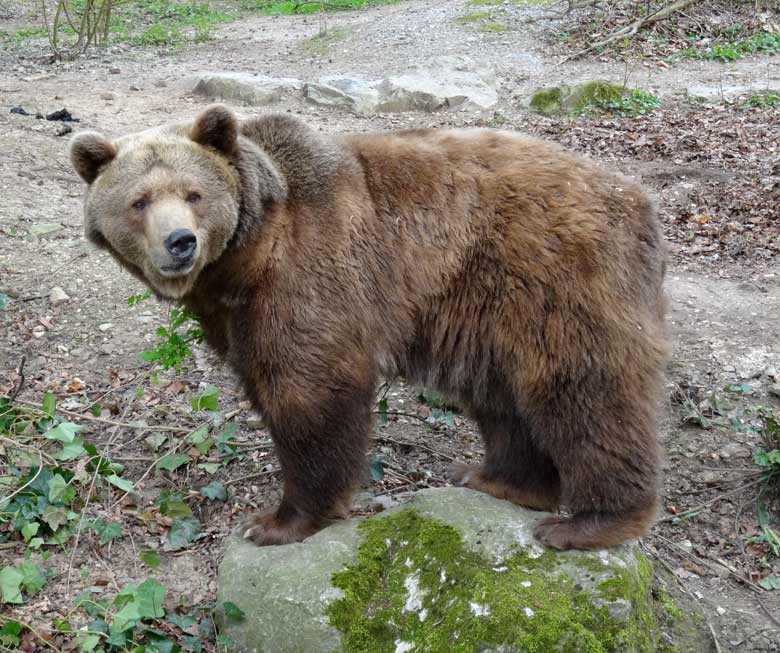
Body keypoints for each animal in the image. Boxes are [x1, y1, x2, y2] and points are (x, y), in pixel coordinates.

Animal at [70, 105, 668, 552]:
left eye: (193, 194)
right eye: (139, 201)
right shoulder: (237, 313)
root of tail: (638, 200)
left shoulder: (308, 274)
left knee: (585, 391)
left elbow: (309, 390)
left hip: (557, 278)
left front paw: (276, 521)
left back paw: (587, 523)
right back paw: (496, 478)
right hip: (490, 309)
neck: (243, 259)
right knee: (503, 395)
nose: (180, 242)